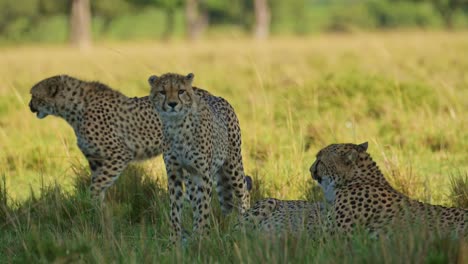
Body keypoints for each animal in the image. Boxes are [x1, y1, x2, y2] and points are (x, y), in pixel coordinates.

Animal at [28, 75, 165, 203]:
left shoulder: (120, 155)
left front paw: (90, 206)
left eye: (34, 95)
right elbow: (98, 185)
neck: (74, 109)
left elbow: (96, 186)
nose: (29, 105)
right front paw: (97, 209)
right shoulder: (95, 160)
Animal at [149, 72, 252, 243]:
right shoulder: (175, 173)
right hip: (192, 178)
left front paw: (201, 238)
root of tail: (216, 96)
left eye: (181, 91)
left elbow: (203, 206)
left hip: (233, 165)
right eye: (162, 92)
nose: (172, 104)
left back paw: (243, 226)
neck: (177, 125)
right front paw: (175, 240)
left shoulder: (204, 174)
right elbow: (176, 208)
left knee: (243, 192)